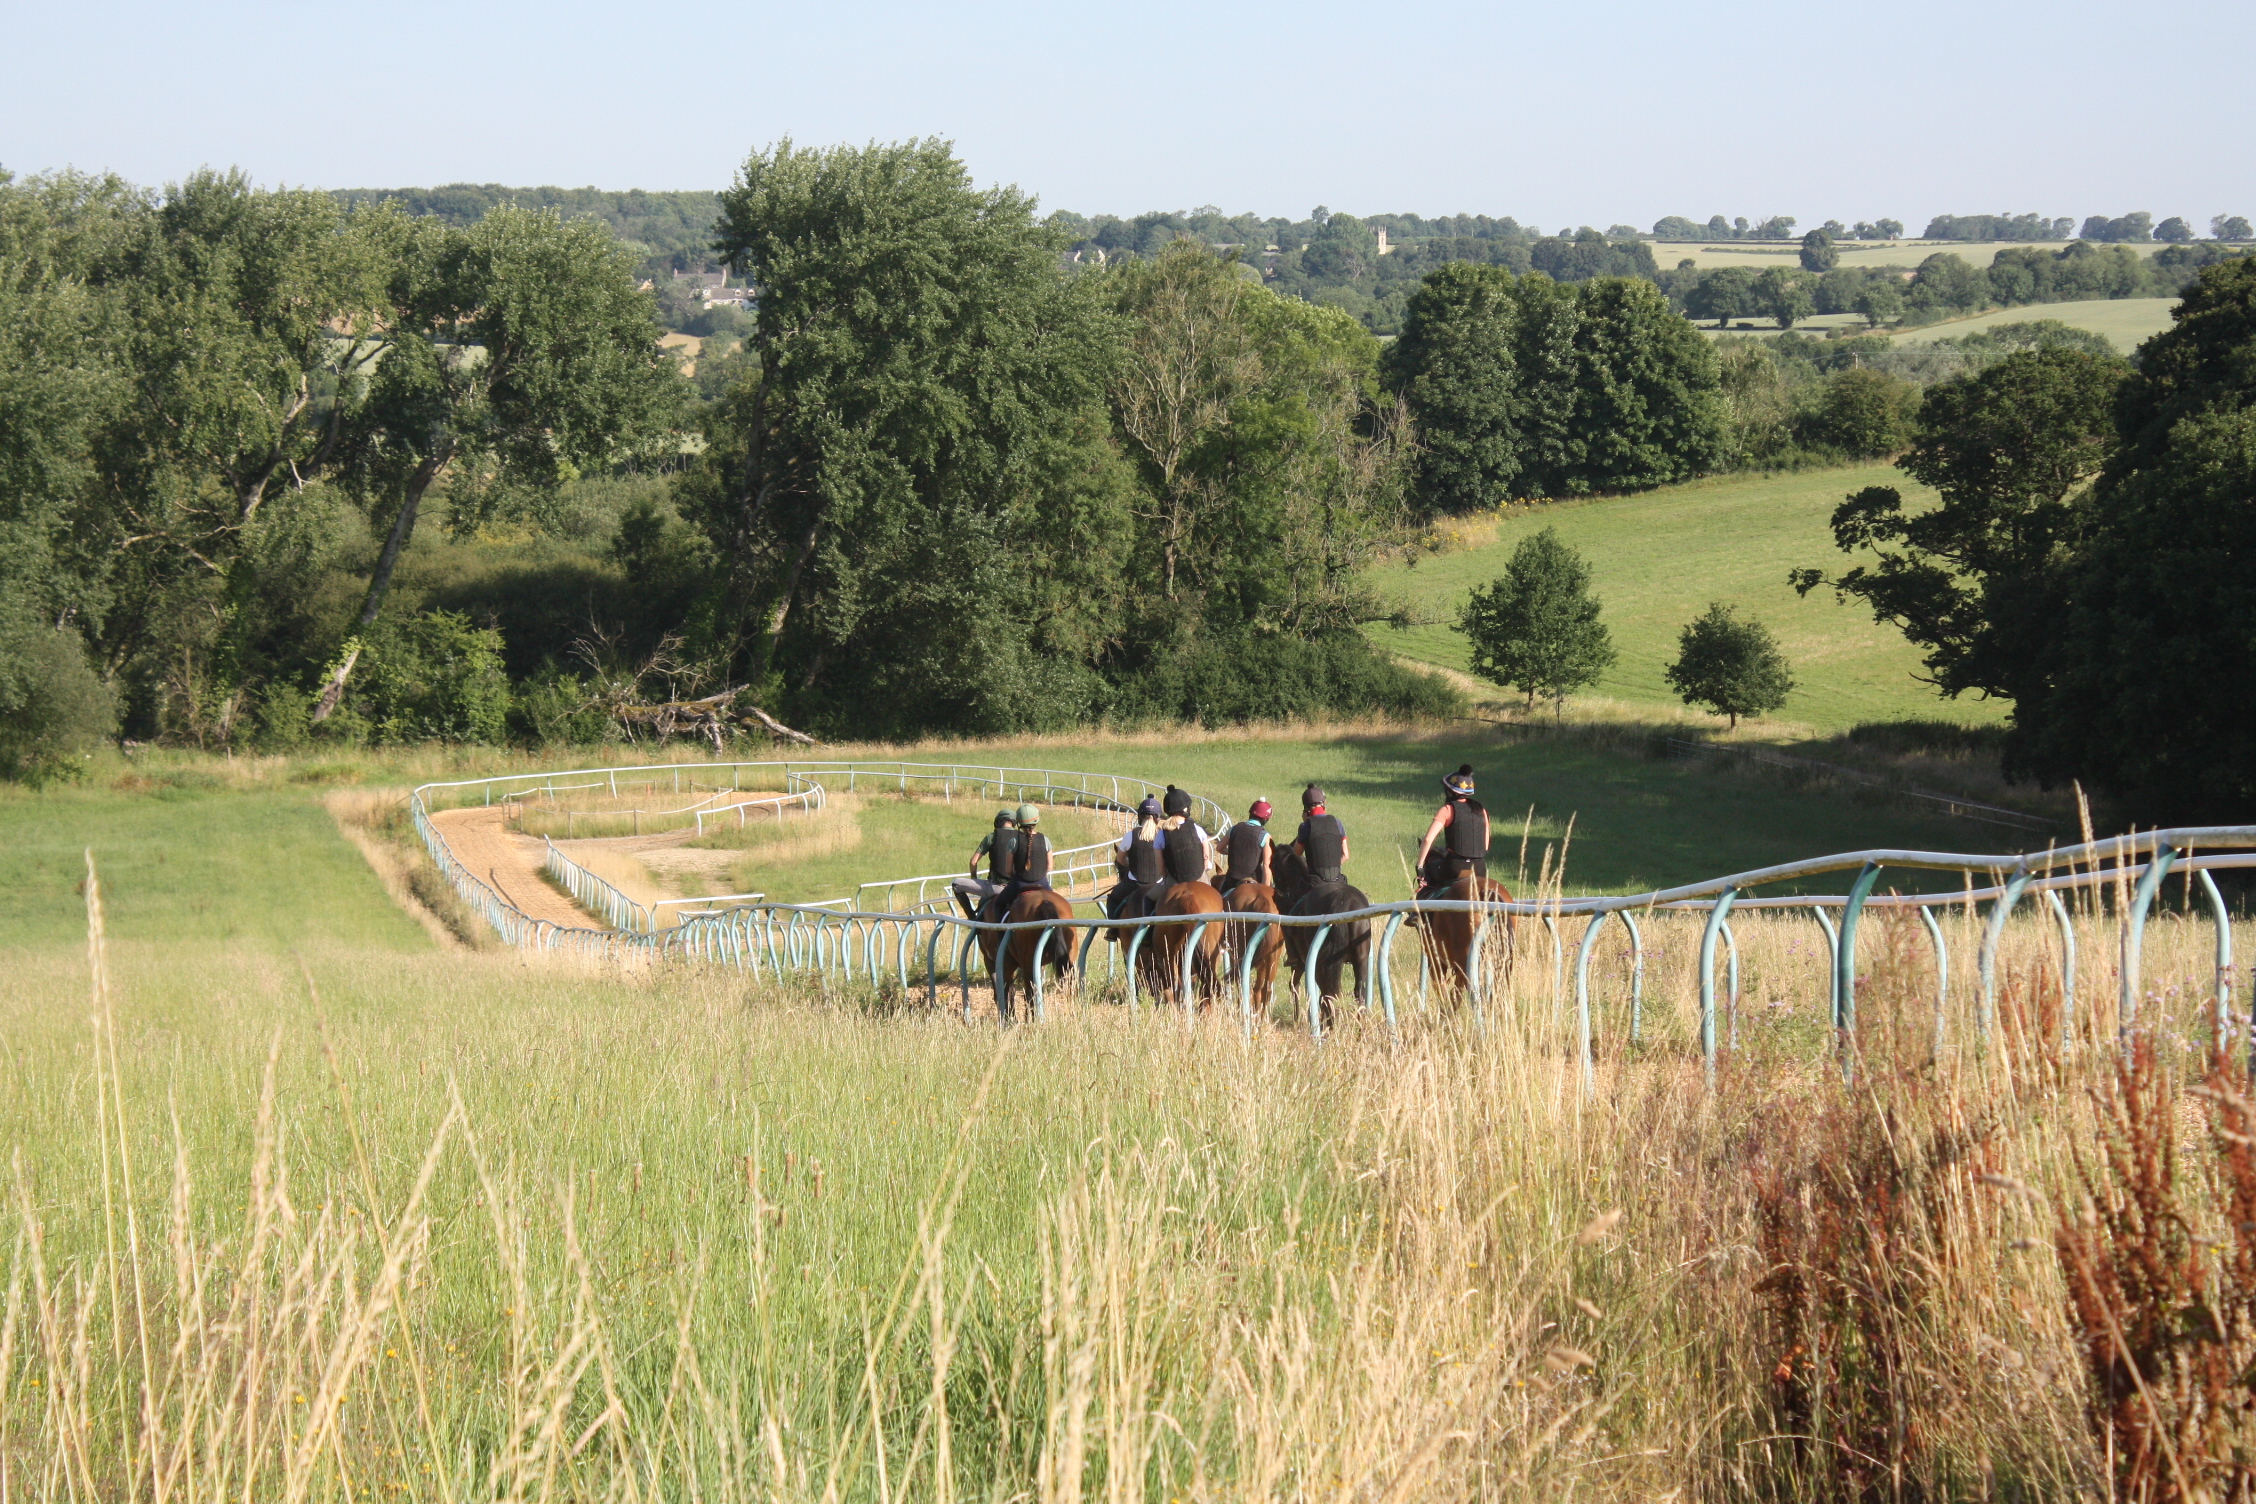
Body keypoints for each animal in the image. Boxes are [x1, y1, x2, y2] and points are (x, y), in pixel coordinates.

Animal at [974, 888, 1078, 1028]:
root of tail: (1044, 901)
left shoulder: (997, 962)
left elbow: (1006, 991)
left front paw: (1009, 1019)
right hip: (1067, 959)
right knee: (1068, 985)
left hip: (1026, 962)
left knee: (1029, 993)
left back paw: (1031, 1021)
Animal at [1272, 843, 1371, 1028]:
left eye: (1272, 864)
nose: (1276, 895)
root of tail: (1343, 899)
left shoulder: (1302, 961)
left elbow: (1294, 985)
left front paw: (1298, 1018)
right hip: (1360, 957)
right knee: (1358, 991)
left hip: (1320, 960)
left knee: (1326, 992)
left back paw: (1328, 1026)